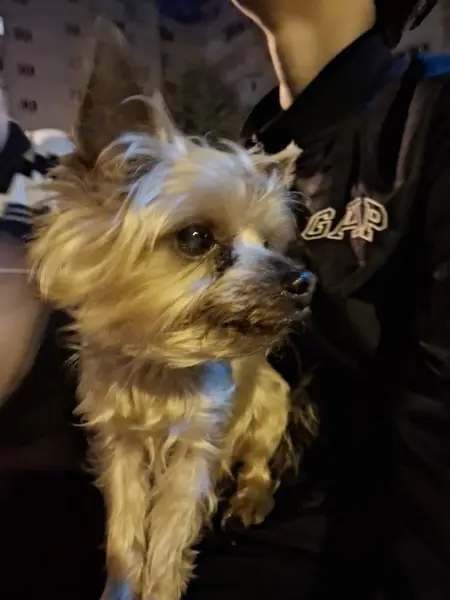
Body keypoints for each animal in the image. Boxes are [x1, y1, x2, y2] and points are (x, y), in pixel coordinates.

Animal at [29, 21, 317, 600]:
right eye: (196, 238)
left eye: (271, 244)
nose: (302, 282)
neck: (158, 364)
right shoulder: (118, 442)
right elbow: (125, 534)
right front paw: (120, 586)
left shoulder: (194, 448)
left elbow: (167, 536)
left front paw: (160, 585)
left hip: (270, 408)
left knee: (258, 464)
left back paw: (249, 500)